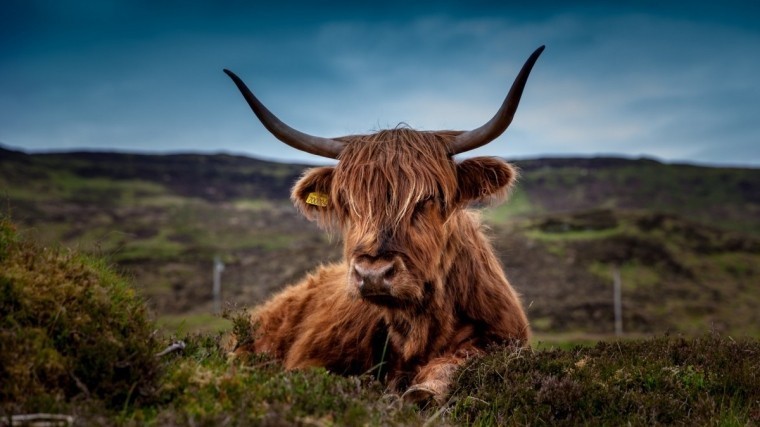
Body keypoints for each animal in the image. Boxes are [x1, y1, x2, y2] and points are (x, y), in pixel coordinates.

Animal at [223, 46, 544, 404]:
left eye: (428, 198)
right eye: (348, 202)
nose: (373, 273)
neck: (417, 329)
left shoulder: (502, 340)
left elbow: (456, 363)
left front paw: (423, 390)